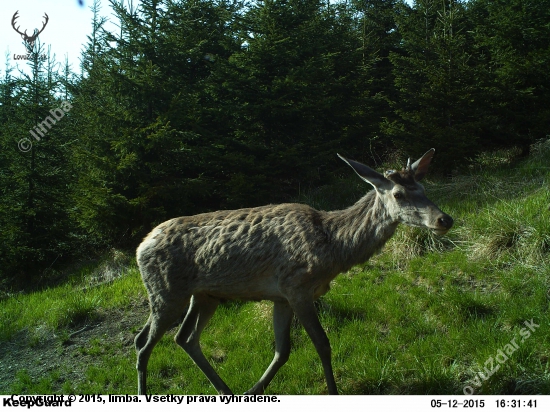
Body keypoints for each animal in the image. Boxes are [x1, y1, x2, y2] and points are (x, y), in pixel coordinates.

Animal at [134, 149, 452, 396]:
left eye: (424, 190)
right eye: (398, 194)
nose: (444, 219)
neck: (334, 249)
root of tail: (141, 246)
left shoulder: (281, 296)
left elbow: (283, 351)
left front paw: (253, 390)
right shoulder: (297, 287)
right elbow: (322, 344)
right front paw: (333, 393)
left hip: (204, 295)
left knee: (184, 337)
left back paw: (226, 390)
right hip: (166, 291)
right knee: (143, 343)